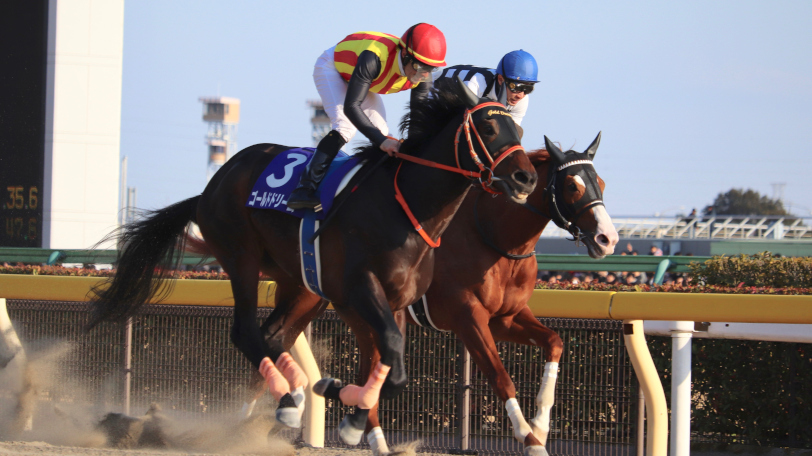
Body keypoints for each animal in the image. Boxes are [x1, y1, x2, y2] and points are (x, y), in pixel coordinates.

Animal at [86, 77, 538, 442]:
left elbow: (389, 362)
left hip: (299, 283)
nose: (526, 178)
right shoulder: (362, 288)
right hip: (241, 257)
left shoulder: (396, 302)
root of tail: (209, 188)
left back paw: (296, 393)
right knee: (245, 331)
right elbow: (392, 361)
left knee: (273, 335)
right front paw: (347, 411)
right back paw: (289, 398)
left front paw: (347, 408)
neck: (405, 206)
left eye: (518, 128)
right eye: (488, 127)